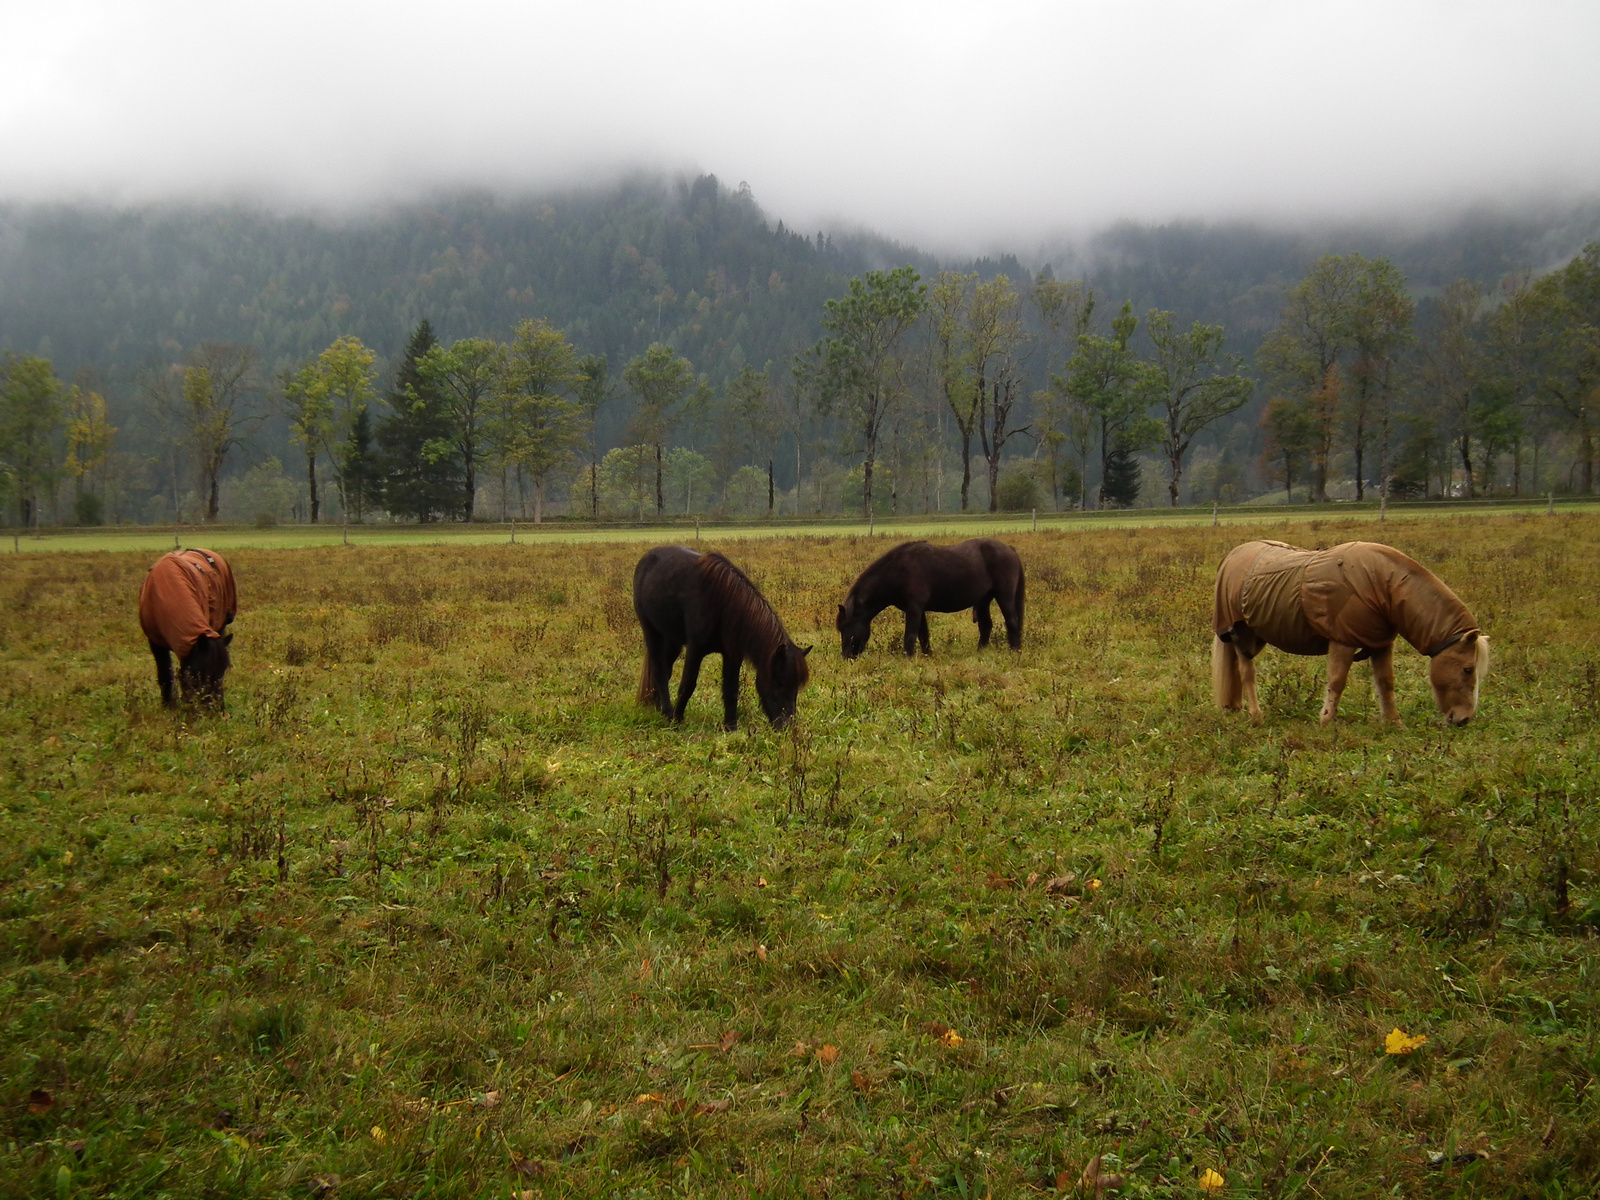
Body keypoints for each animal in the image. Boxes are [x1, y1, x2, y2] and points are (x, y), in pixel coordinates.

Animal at [139, 550, 236, 710]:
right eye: (200, 674)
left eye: (223, 672)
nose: (217, 710)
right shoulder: (156, 643)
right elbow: (165, 675)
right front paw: (169, 706)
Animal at [633, 547, 812, 732]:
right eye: (779, 682)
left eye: (796, 686)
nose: (787, 726)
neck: (722, 604)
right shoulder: (695, 649)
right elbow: (688, 685)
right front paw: (677, 719)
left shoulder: (732, 655)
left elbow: (731, 689)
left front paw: (731, 727)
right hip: (652, 633)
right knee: (660, 671)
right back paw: (668, 712)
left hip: (672, 639)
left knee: (665, 670)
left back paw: (657, 706)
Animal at [838, 540, 1024, 662]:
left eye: (846, 628)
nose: (846, 657)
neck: (897, 571)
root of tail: (1010, 549)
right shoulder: (917, 610)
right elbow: (923, 635)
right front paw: (927, 655)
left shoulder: (914, 609)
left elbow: (910, 636)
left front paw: (908, 658)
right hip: (984, 599)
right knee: (986, 626)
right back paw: (980, 651)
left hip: (1004, 596)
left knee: (1012, 621)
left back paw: (1014, 651)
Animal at [1209, 544, 1484, 729]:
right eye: (1467, 669)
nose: (1464, 719)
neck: (1379, 583)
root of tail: (1232, 556)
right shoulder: (1343, 641)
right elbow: (1337, 681)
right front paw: (1326, 721)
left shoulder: (1381, 644)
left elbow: (1386, 683)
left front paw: (1394, 723)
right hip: (1243, 637)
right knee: (1247, 673)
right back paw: (1256, 716)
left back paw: (1235, 707)